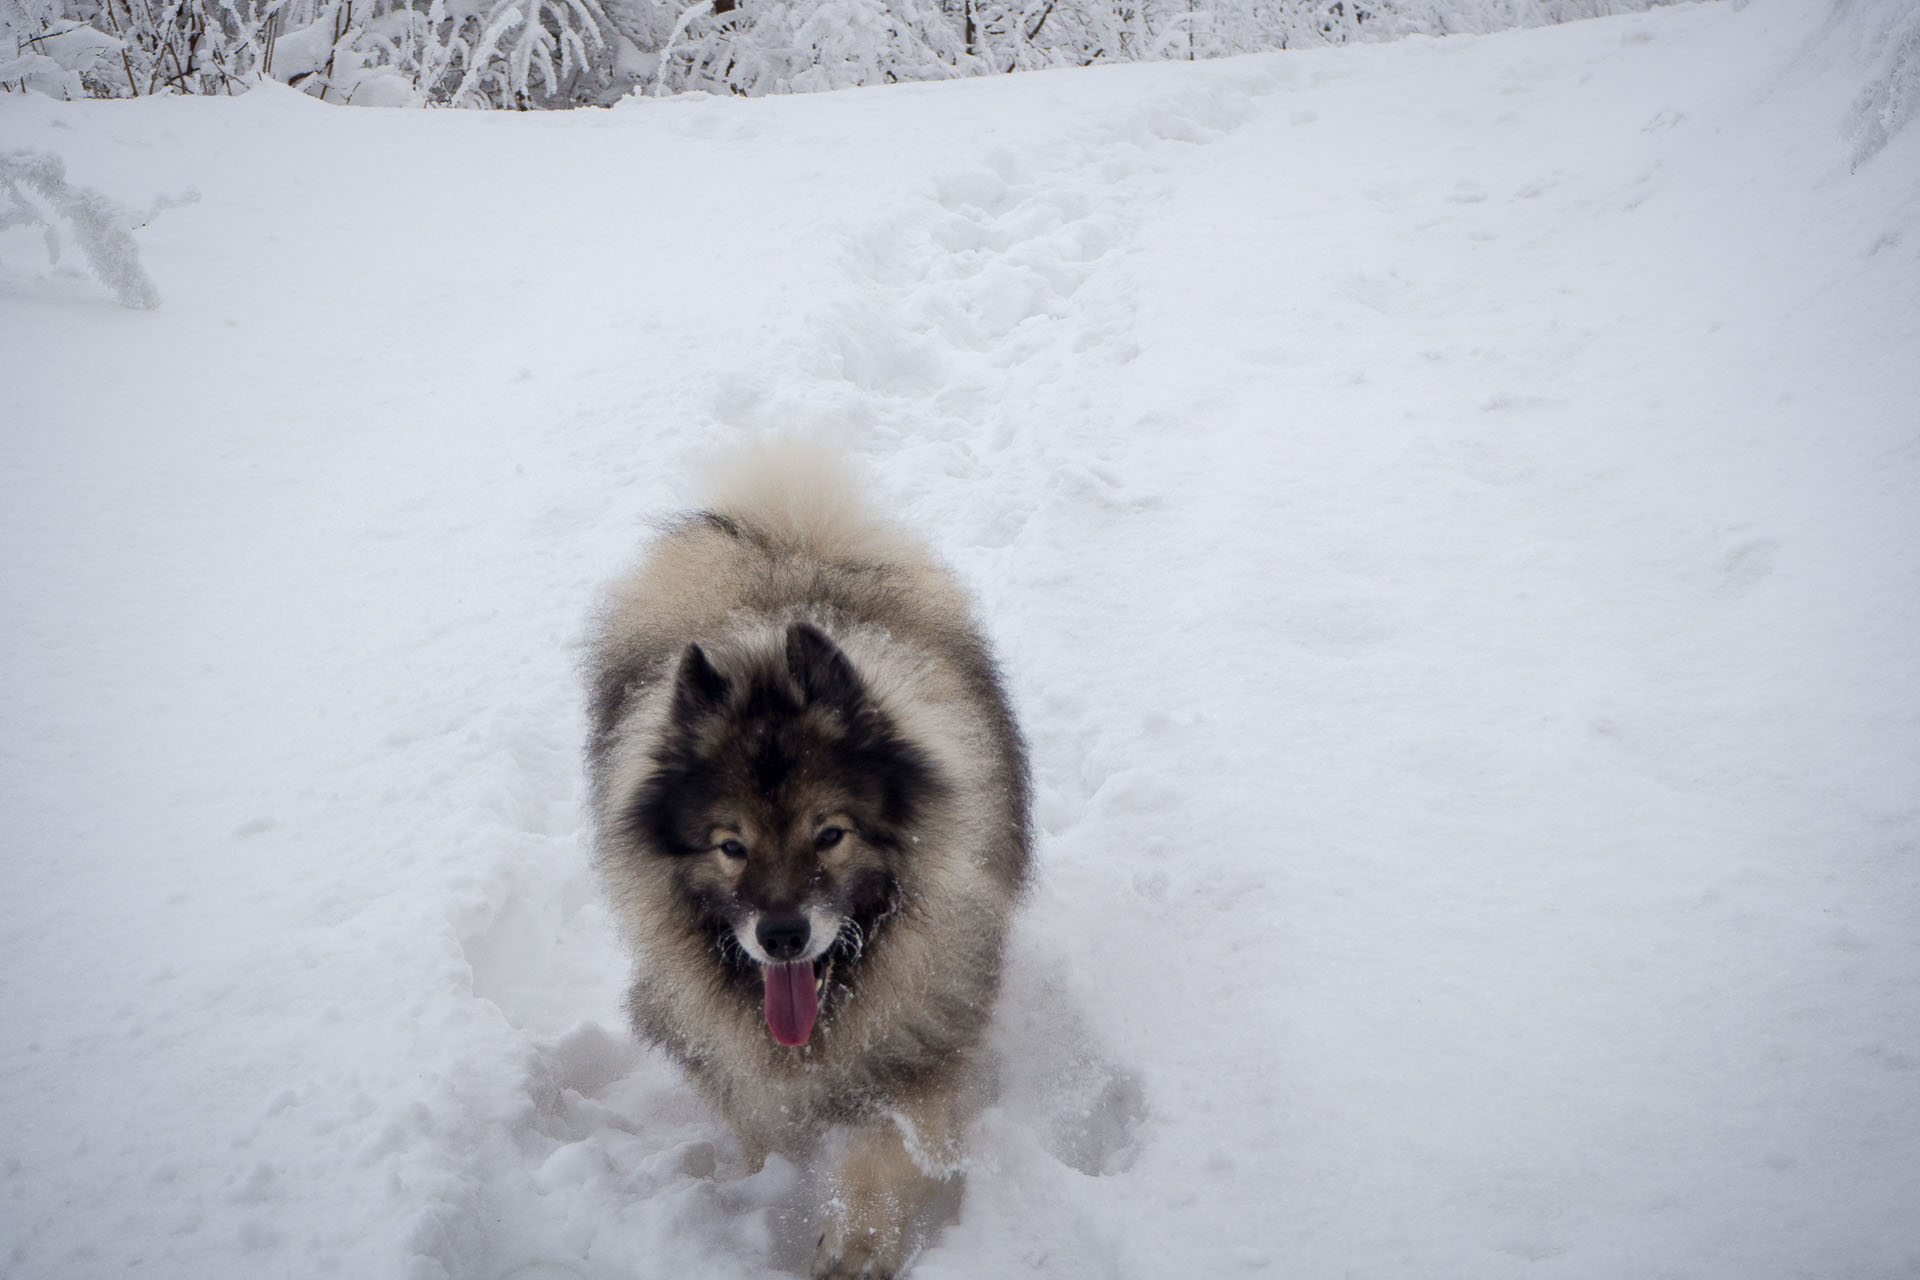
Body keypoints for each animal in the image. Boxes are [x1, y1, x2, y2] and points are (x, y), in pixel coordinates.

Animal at [583, 443, 1036, 1280]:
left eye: (830, 834)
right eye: (731, 846)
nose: (783, 935)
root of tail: (792, 545)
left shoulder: (924, 1037)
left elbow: (888, 1151)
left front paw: (854, 1243)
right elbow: (761, 1123)